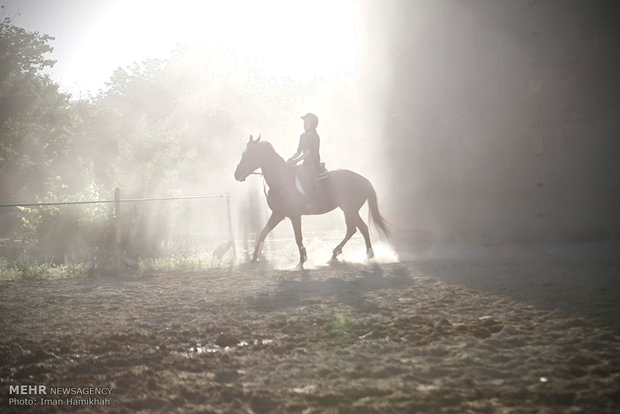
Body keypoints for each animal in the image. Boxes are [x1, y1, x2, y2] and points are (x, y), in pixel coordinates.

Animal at [232, 134, 388, 266]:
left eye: (250, 154)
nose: (237, 174)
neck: (282, 179)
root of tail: (364, 180)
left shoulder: (295, 216)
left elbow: (298, 237)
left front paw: (302, 260)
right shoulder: (278, 214)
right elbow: (263, 232)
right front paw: (254, 257)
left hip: (350, 210)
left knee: (361, 228)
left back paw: (368, 255)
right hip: (349, 211)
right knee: (353, 229)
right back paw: (338, 253)